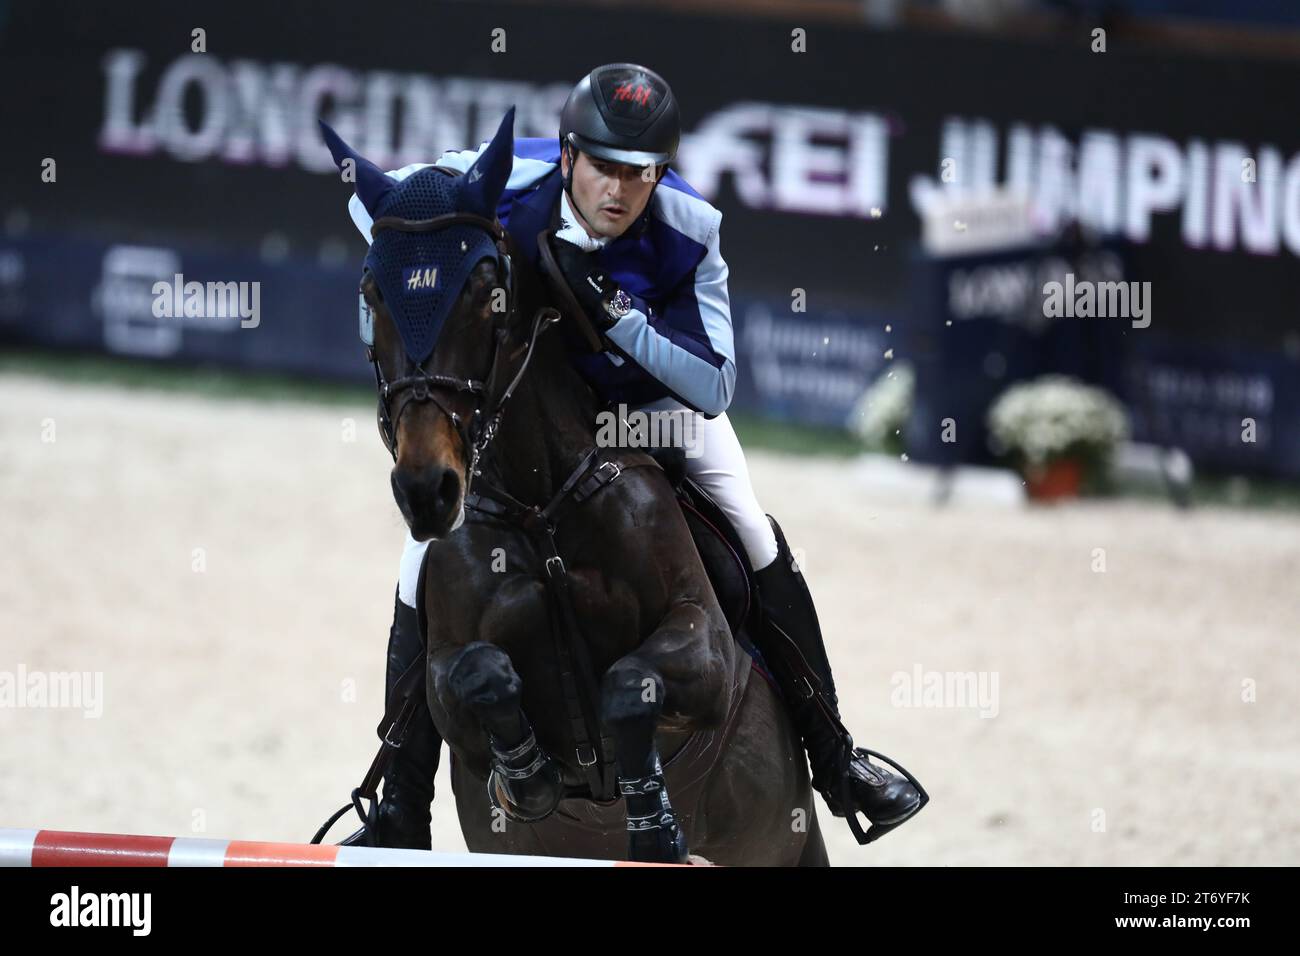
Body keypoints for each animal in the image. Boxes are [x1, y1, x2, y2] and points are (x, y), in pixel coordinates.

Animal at [321, 111, 826, 868]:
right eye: (371, 294)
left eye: (489, 294)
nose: (427, 490)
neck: (540, 508)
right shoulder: (446, 675)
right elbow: (475, 674)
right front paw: (525, 778)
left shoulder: (705, 649)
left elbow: (627, 687)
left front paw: (653, 825)